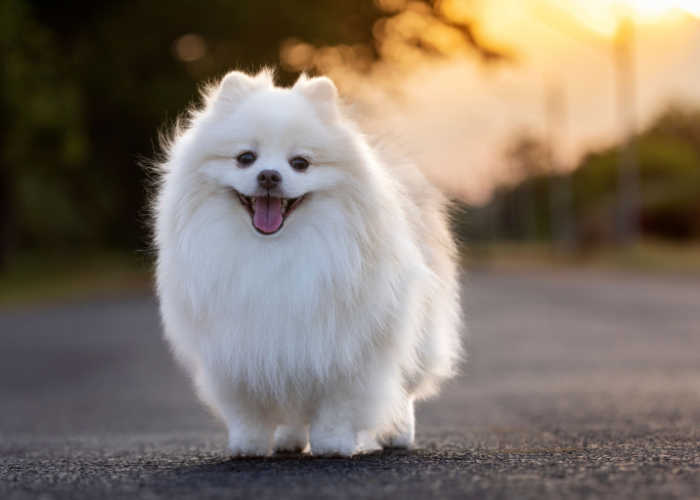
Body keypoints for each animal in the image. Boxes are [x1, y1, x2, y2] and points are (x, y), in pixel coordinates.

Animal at [151, 69, 462, 458]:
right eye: (245, 158)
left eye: (300, 163)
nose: (269, 175)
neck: (275, 251)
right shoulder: (238, 348)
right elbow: (247, 408)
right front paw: (248, 445)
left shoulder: (349, 349)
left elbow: (338, 406)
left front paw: (334, 445)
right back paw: (289, 439)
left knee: (406, 387)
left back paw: (397, 434)